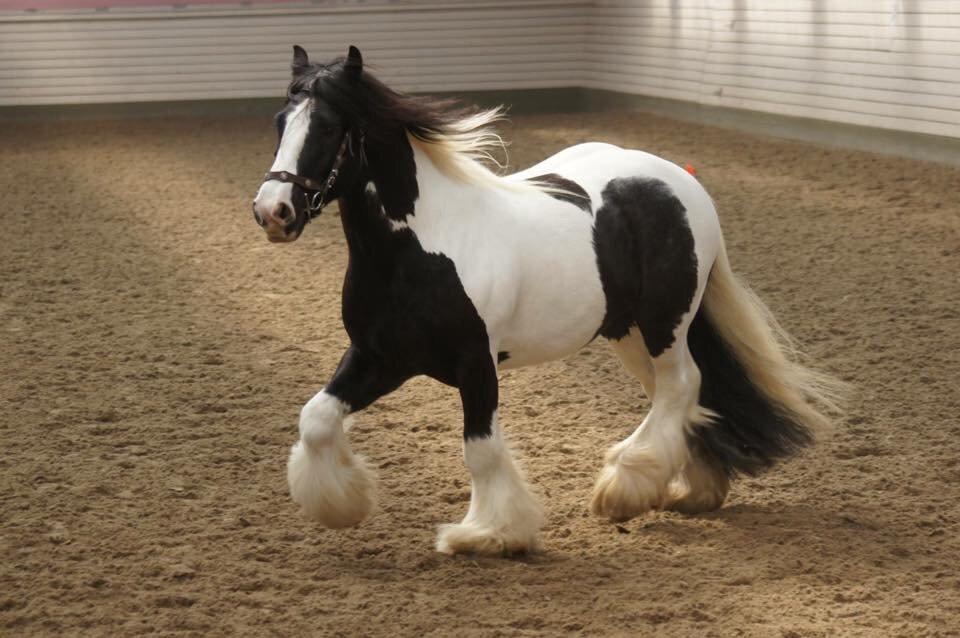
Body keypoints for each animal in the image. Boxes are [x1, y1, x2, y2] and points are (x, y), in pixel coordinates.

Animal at [249, 46, 840, 556]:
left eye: (328, 127)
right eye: (279, 122)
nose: (273, 211)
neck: (422, 247)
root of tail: (679, 180)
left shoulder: (475, 363)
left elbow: (481, 449)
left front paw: (488, 534)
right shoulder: (379, 357)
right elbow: (316, 418)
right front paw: (343, 505)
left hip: (664, 323)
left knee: (682, 386)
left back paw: (623, 488)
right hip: (628, 333)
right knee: (682, 395)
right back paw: (690, 490)